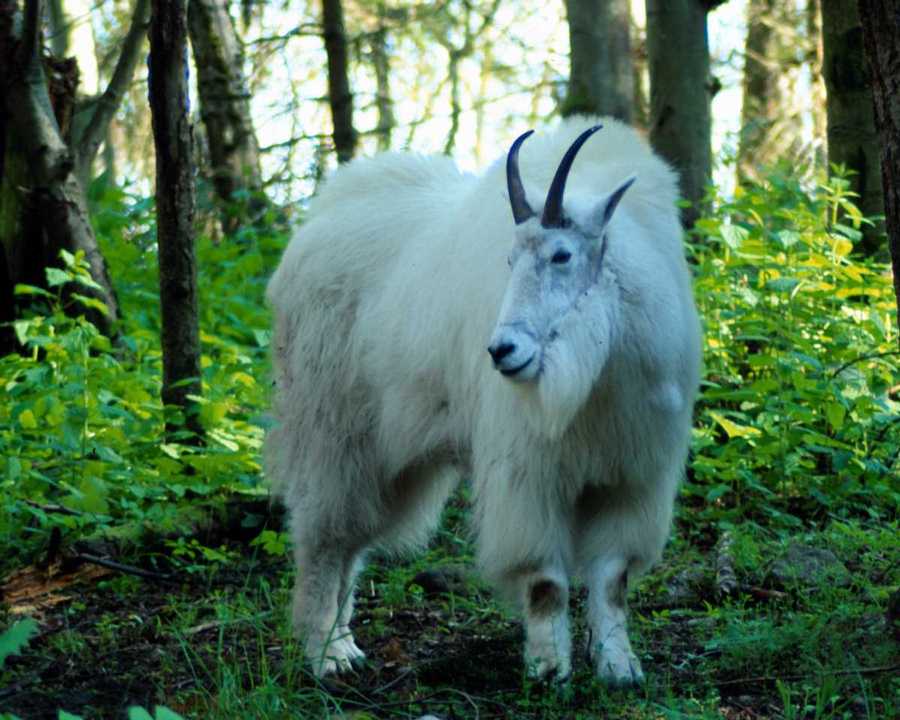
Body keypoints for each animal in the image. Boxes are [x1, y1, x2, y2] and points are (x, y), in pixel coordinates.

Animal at [266, 116, 704, 688]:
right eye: (509, 260)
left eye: (562, 254)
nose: (502, 351)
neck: (595, 378)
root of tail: (311, 231)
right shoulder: (529, 474)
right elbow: (546, 582)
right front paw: (548, 669)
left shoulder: (631, 478)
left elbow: (612, 579)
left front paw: (619, 668)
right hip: (332, 431)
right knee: (324, 535)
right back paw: (323, 654)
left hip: (387, 453)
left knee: (351, 541)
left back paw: (345, 643)